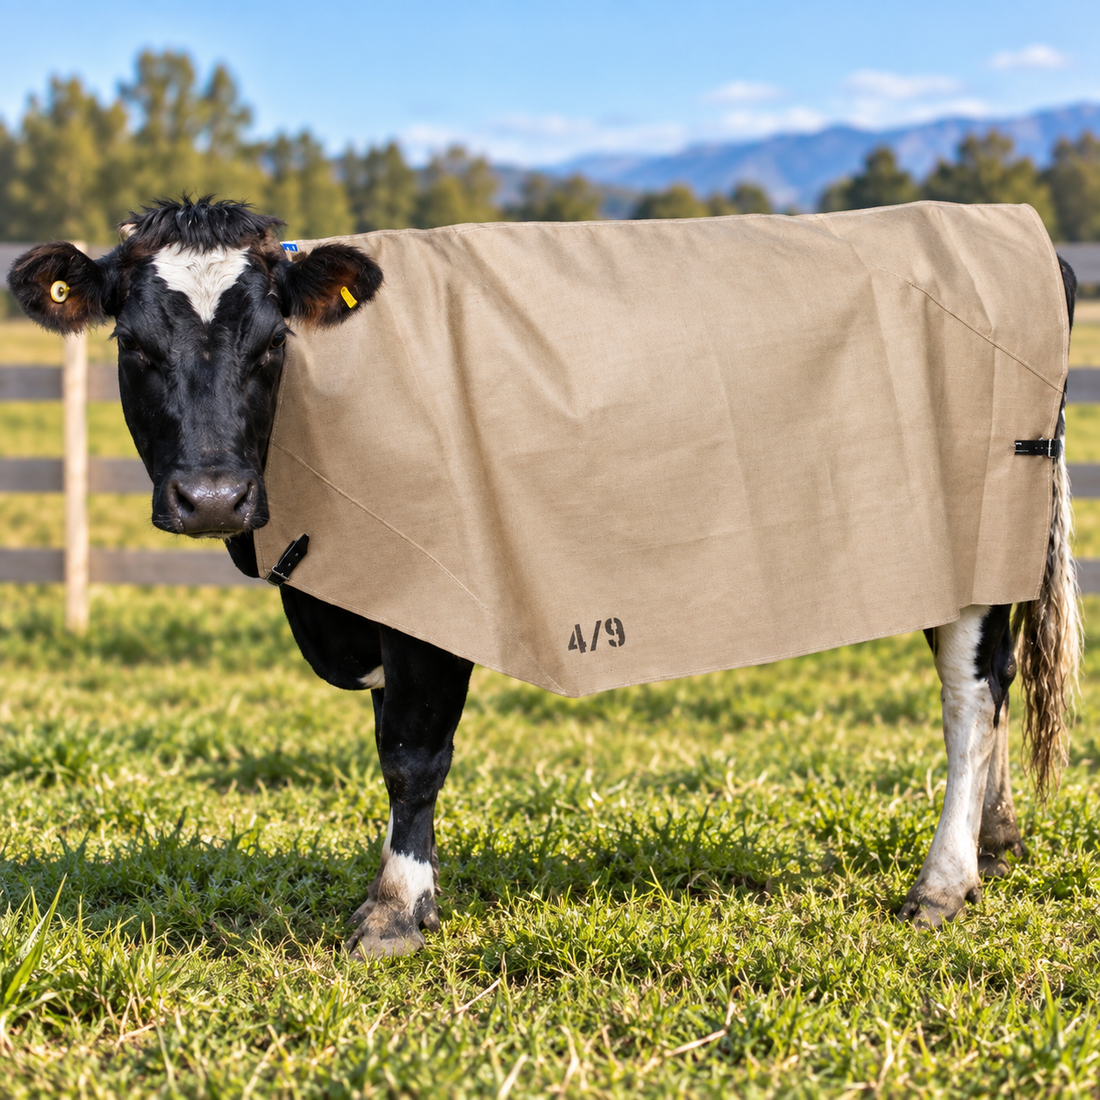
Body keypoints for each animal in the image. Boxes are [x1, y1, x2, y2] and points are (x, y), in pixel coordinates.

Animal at [8, 197, 1082, 958]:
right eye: (133, 345)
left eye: (274, 344)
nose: (214, 497)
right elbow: (393, 746)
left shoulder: (433, 598)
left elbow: (412, 755)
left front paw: (394, 911)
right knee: (991, 692)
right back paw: (995, 839)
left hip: (970, 540)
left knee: (970, 694)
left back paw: (942, 880)